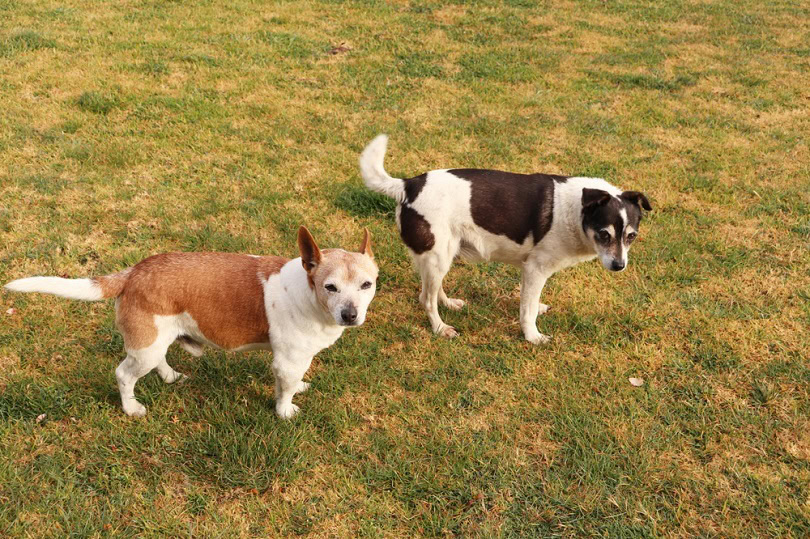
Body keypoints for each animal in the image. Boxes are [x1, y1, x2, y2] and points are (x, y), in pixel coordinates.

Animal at [3, 226, 378, 420]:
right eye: (330, 287)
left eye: (367, 284)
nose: (350, 315)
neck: (308, 293)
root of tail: (133, 272)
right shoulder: (287, 361)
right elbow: (284, 391)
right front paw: (285, 411)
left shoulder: (298, 360)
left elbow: (294, 381)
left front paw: (298, 388)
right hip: (144, 348)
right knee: (123, 375)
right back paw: (131, 407)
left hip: (157, 341)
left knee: (159, 362)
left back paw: (170, 376)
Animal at [360, 136, 652, 346]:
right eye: (604, 234)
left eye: (631, 236)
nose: (619, 266)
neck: (575, 210)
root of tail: (409, 185)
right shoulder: (535, 269)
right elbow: (527, 310)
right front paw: (532, 336)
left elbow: (531, 302)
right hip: (437, 255)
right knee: (425, 299)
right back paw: (440, 327)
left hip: (441, 255)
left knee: (431, 289)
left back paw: (449, 303)